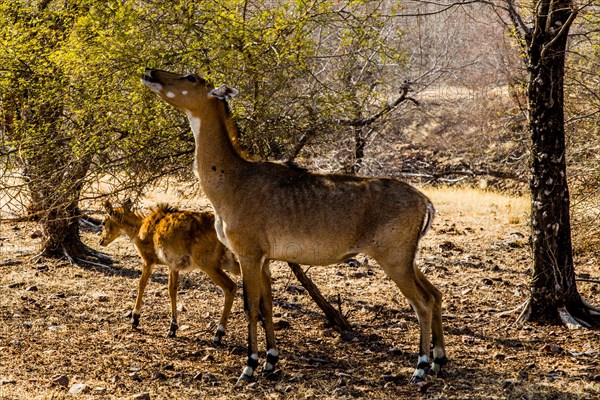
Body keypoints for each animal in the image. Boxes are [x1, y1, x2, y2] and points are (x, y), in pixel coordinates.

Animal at [98, 200, 239, 344]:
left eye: (103, 222)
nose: (101, 241)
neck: (139, 230)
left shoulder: (148, 260)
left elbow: (141, 284)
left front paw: (135, 319)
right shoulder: (173, 266)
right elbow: (172, 290)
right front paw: (172, 328)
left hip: (208, 264)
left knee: (230, 287)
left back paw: (218, 333)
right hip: (229, 262)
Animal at [143, 69, 448, 384]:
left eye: (191, 78)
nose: (150, 73)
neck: (233, 179)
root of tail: (425, 201)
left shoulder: (248, 254)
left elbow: (250, 306)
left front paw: (249, 366)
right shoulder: (265, 260)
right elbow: (267, 306)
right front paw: (270, 360)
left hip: (394, 259)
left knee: (422, 302)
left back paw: (421, 367)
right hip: (407, 260)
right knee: (436, 294)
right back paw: (438, 361)